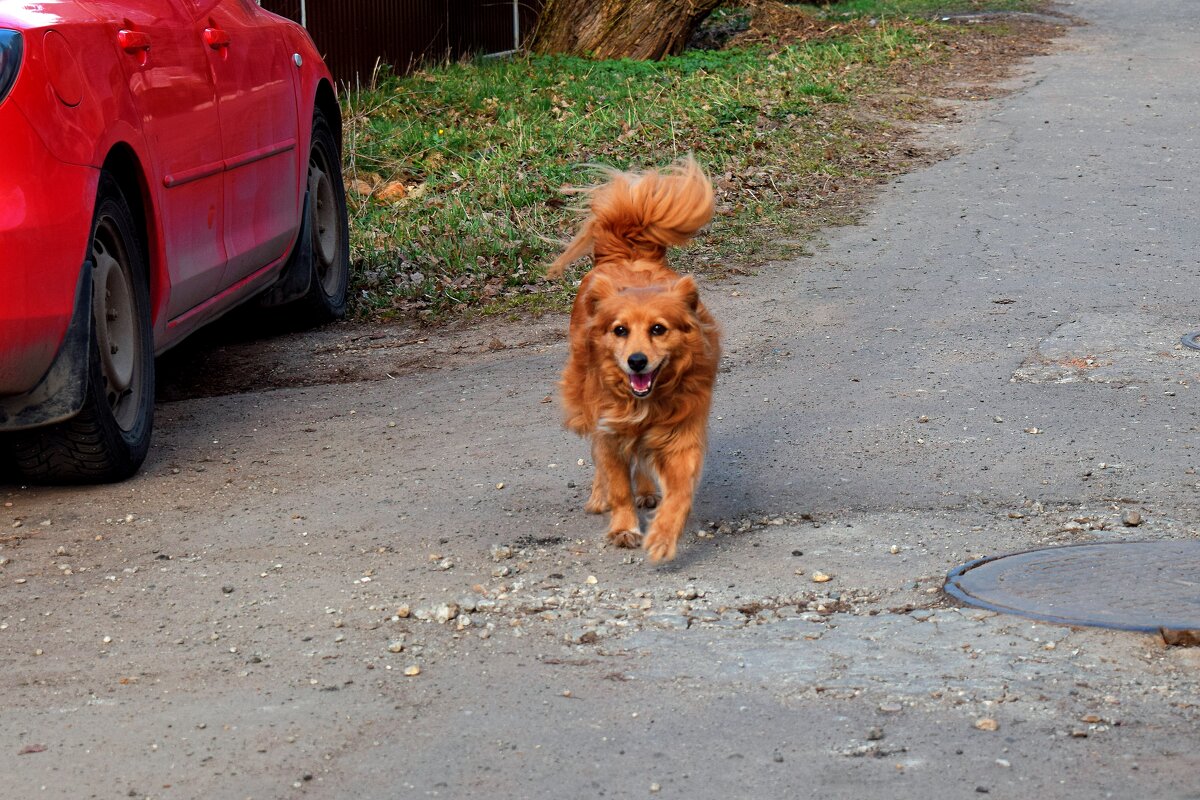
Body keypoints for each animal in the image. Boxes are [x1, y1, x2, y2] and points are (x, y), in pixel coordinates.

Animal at [549, 158, 715, 563]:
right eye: (620, 330)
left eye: (658, 329)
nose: (636, 361)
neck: (646, 404)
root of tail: (626, 254)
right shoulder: (609, 428)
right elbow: (616, 479)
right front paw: (623, 527)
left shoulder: (681, 434)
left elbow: (680, 490)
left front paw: (664, 534)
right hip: (585, 403)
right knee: (600, 457)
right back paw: (600, 496)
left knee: (638, 460)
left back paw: (646, 490)